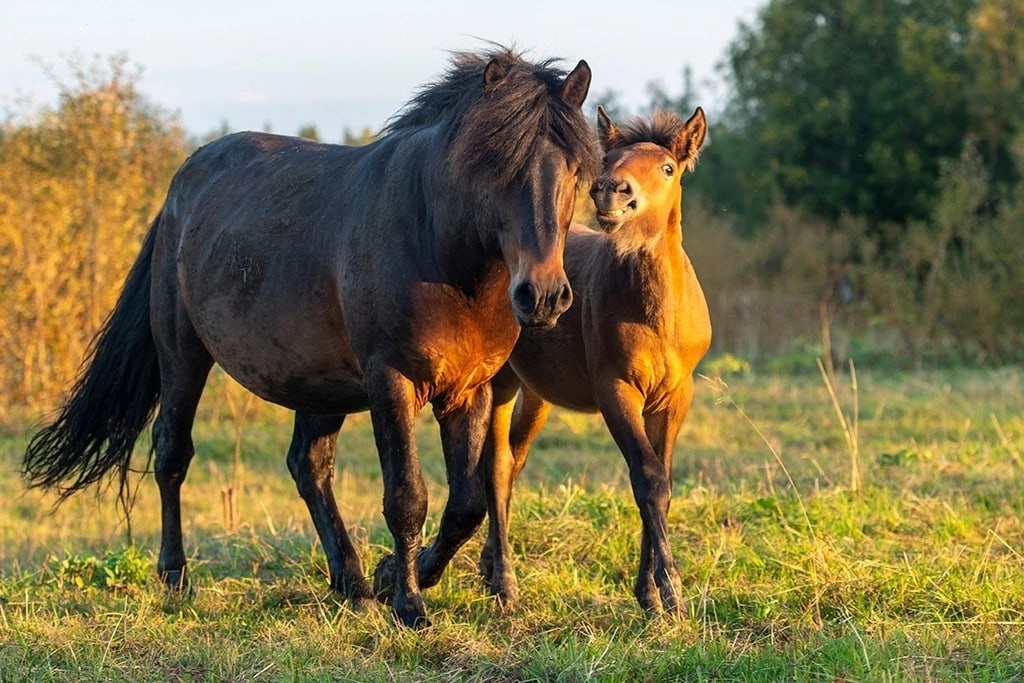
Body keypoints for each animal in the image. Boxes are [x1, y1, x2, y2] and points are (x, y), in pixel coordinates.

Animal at [22, 45, 598, 626]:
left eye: (575, 171)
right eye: (497, 164)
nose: (543, 296)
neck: (441, 252)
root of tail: (181, 188)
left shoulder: (468, 389)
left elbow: (466, 505)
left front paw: (395, 576)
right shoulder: (391, 381)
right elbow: (406, 497)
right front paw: (409, 605)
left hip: (319, 383)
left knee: (309, 467)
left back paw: (353, 584)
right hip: (183, 355)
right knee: (172, 454)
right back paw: (176, 578)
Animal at [481, 105, 712, 614]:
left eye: (668, 168)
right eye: (608, 159)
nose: (612, 190)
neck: (654, 318)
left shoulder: (675, 396)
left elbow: (662, 482)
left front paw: (650, 594)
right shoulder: (615, 388)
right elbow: (648, 478)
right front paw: (670, 591)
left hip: (537, 394)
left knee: (515, 460)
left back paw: (488, 566)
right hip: (500, 381)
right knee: (497, 465)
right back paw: (503, 582)